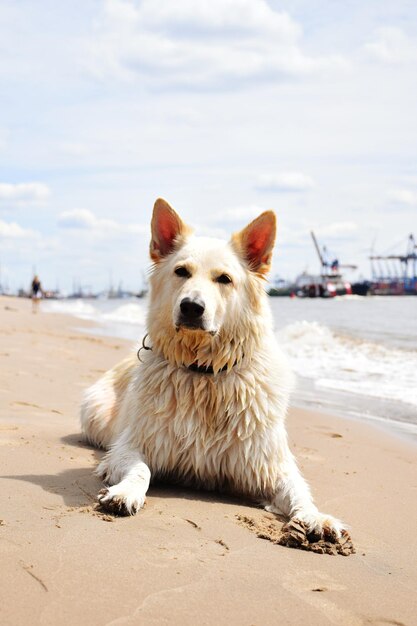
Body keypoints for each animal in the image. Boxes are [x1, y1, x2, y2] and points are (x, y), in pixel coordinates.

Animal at [80, 196, 344, 536]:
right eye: (181, 271)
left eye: (224, 279)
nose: (192, 307)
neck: (204, 373)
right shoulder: (132, 446)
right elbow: (141, 469)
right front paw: (125, 492)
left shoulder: (268, 464)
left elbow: (298, 489)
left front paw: (314, 516)